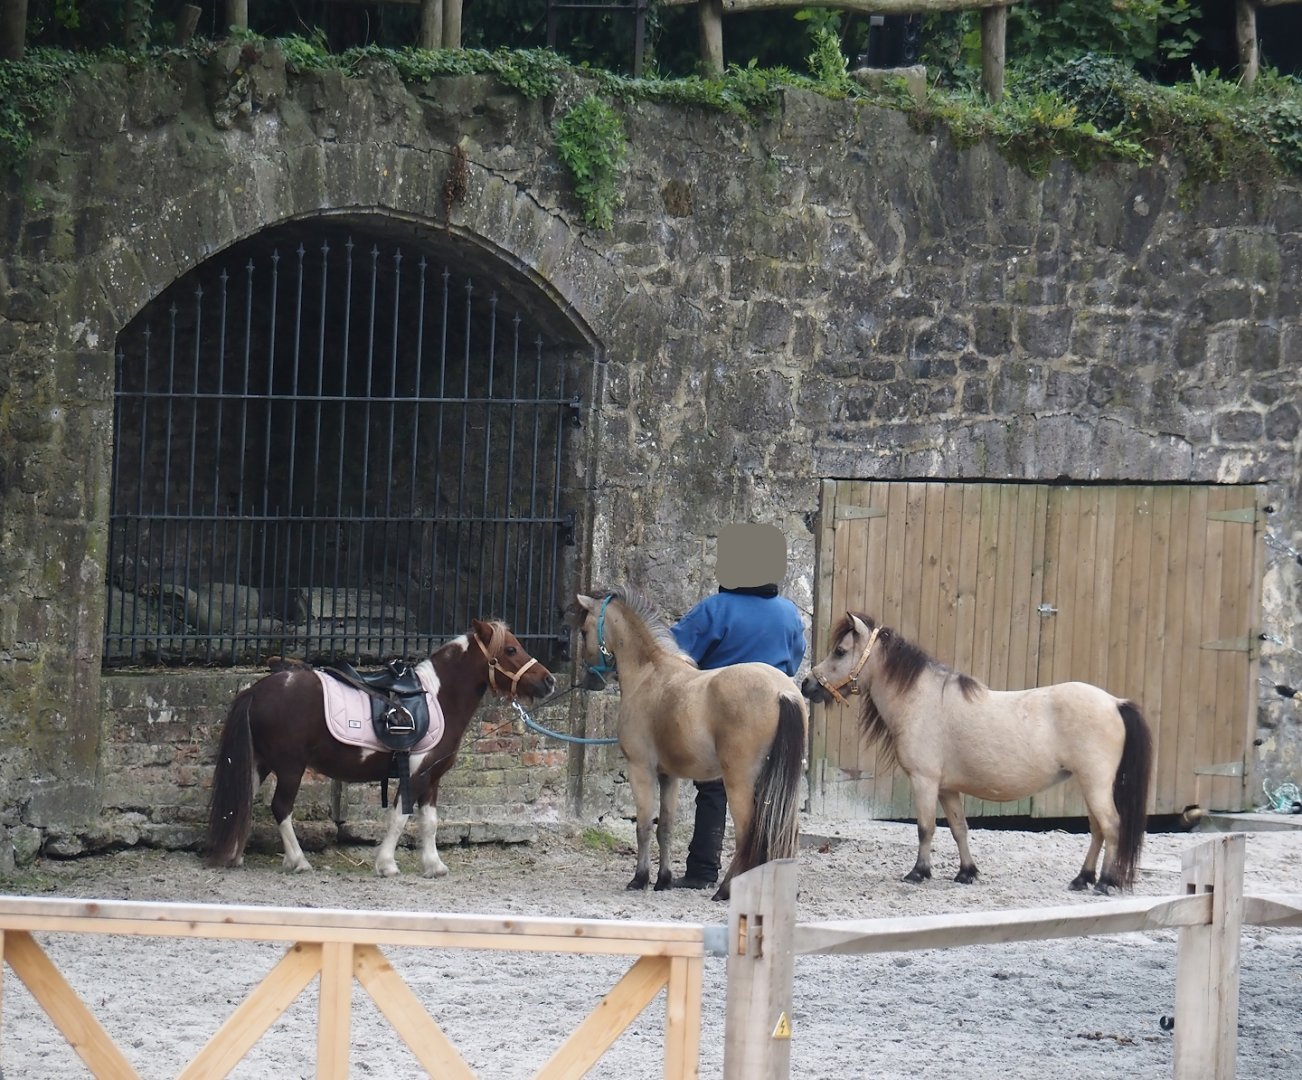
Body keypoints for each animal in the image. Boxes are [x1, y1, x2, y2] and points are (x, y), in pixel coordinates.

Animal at [206, 619, 556, 877]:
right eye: (510, 648)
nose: (549, 681)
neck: (436, 698)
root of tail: (257, 689)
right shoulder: (414, 774)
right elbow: (400, 818)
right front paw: (387, 864)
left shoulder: (432, 778)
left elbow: (429, 822)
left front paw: (434, 865)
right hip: (290, 768)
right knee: (280, 808)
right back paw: (298, 861)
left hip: (260, 763)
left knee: (243, 800)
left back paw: (234, 855)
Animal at [571, 587, 808, 901]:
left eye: (584, 631)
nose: (591, 680)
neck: (649, 672)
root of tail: (782, 691)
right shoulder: (669, 776)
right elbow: (666, 827)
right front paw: (663, 879)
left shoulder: (640, 769)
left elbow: (644, 826)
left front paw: (639, 878)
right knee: (785, 829)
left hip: (739, 781)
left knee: (748, 831)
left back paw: (725, 890)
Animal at [801, 612, 1153, 894]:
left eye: (840, 651)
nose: (807, 684)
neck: (923, 700)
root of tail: (1115, 703)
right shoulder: (947, 789)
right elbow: (959, 829)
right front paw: (966, 873)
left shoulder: (924, 781)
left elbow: (925, 828)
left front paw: (918, 872)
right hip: (1090, 785)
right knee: (1097, 830)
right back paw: (1082, 879)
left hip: (1095, 784)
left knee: (1111, 826)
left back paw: (1105, 882)